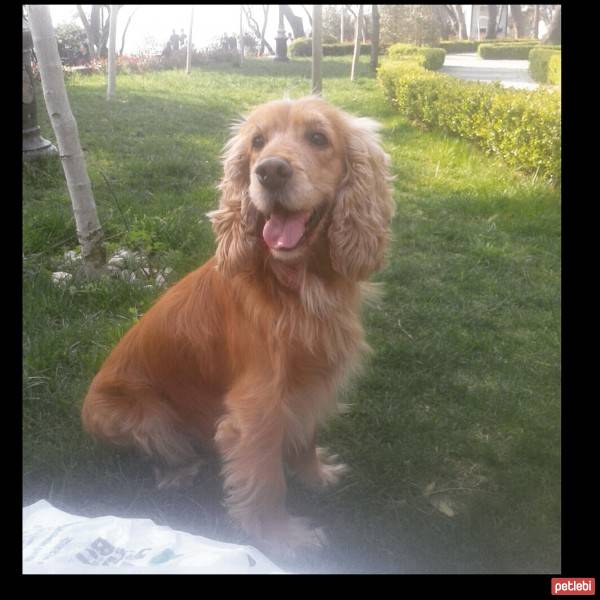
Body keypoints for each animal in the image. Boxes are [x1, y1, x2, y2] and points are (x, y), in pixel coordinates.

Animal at [82, 96, 396, 556]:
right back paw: (178, 472)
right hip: (139, 413)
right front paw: (283, 537)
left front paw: (316, 474)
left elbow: (305, 437)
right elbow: (266, 483)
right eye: (257, 142)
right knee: (159, 447)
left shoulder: (310, 383)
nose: (270, 171)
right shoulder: (258, 408)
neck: (297, 285)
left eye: (318, 138)